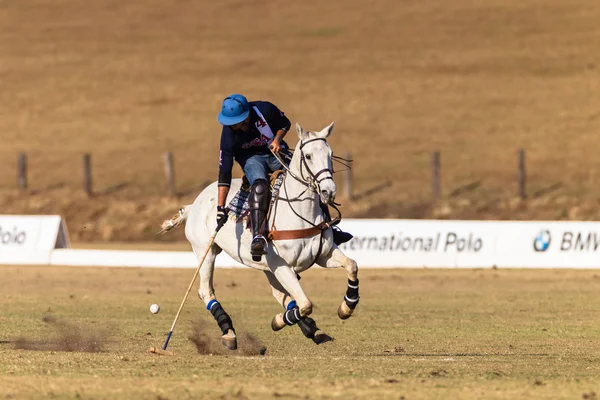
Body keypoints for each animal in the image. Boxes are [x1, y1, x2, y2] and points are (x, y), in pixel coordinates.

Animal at [159, 122, 358, 350]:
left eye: (330, 154)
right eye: (307, 156)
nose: (328, 192)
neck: (301, 213)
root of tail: (194, 203)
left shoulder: (323, 255)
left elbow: (351, 265)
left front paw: (347, 307)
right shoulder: (281, 265)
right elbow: (306, 304)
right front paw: (279, 320)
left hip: (264, 265)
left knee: (280, 293)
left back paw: (313, 330)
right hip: (206, 251)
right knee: (205, 291)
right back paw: (229, 333)